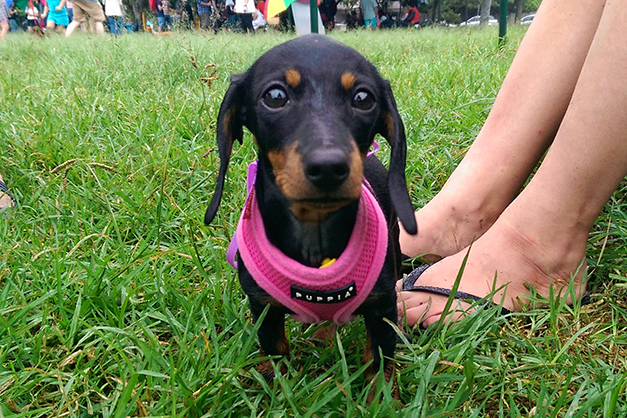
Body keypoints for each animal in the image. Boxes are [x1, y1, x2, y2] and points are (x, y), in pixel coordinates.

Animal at [204, 34, 417, 390]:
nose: (329, 167)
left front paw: (382, 396)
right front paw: (276, 390)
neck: (314, 232)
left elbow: (380, 363)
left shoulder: (382, 306)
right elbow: (274, 354)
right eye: (275, 96)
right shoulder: (263, 308)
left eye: (363, 98)